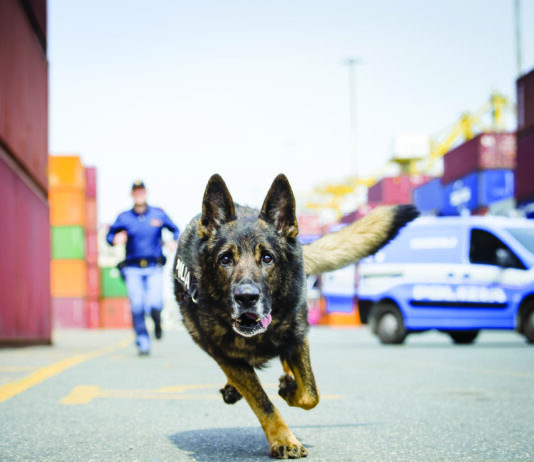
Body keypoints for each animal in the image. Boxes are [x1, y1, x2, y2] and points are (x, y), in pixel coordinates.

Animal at [175, 174, 418, 458]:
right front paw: (283, 439)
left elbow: (310, 394)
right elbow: (263, 403)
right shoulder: (226, 357)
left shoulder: (297, 337)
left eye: (267, 258)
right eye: (225, 259)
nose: (246, 298)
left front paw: (291, 391)